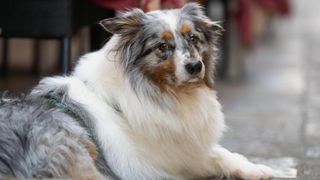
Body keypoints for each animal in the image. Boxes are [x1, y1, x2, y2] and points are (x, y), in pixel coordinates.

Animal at [0, 2, 296, 180]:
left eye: (194, 39)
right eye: (162, 47)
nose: (195, 66)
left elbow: (225, 154)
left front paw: (265, 168)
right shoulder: (151, 164)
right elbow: (216, 156)